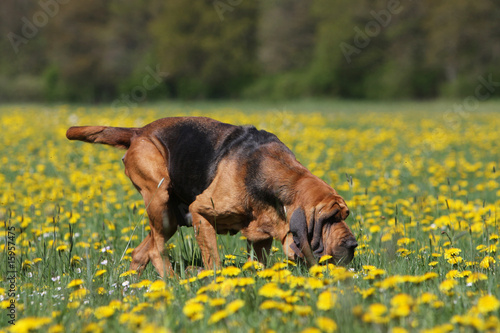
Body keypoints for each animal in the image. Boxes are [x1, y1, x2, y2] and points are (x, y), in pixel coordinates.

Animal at [66, 115, 358, 276]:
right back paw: (174, 281)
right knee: (157, 250)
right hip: (160, 200)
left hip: (169, 217)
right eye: (330, 218)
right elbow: (213, 260)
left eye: (345, 215)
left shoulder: (261, 237)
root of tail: (139, 131)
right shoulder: (201, 212)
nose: (353, 244)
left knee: (142, 251)